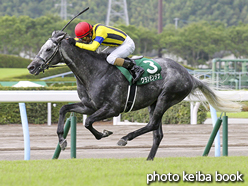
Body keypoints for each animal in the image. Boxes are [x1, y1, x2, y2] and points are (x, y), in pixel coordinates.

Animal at [27, 30, 240, 160]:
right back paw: (148, 159)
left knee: (152, 125)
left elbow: (88, 122)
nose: (31, 67)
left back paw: (125, 138)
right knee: (158, 133)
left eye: (48, 49)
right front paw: (62, 141)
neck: (94, 71)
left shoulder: (112, 108)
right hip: (154, 102)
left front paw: (104, 133)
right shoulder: (90, 106)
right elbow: (64, 109)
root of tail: (189, 75)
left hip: (166, 98)